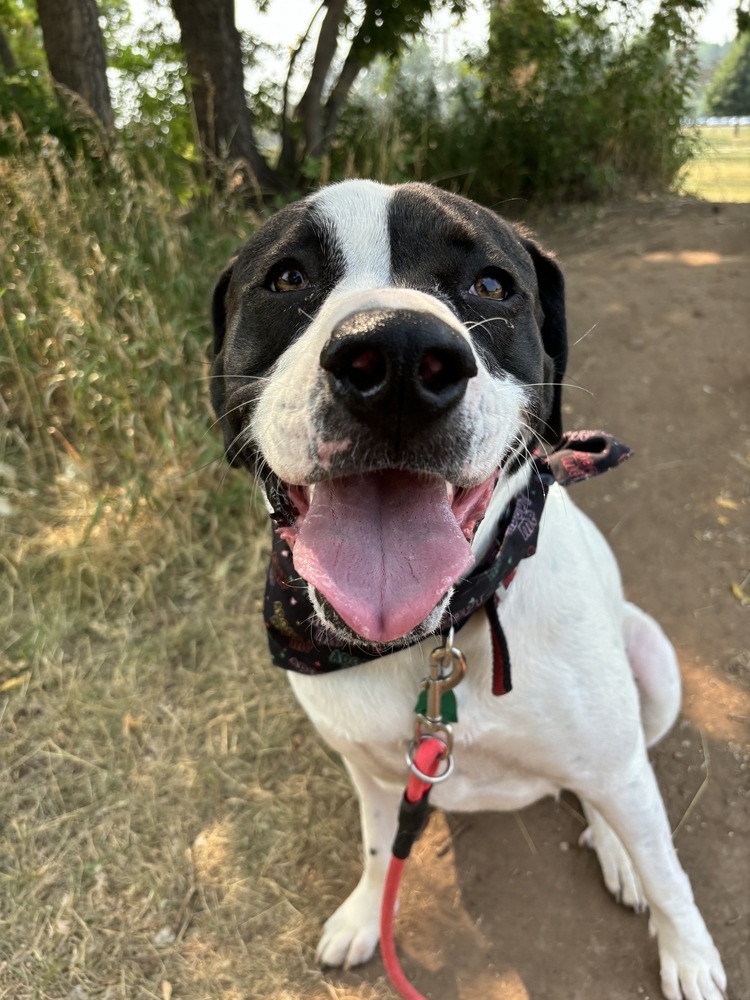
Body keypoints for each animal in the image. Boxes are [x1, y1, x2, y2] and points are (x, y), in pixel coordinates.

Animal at [210, 182, 728, 1000]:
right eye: (287, 278)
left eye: (491, 285)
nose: (394, 355)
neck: (432, 637)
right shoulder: (368, 769)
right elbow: (375, 847)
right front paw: (366, 913)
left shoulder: (618, 767)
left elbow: (668, 870)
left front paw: (689, 955)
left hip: (655, 662)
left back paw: (615, 850)